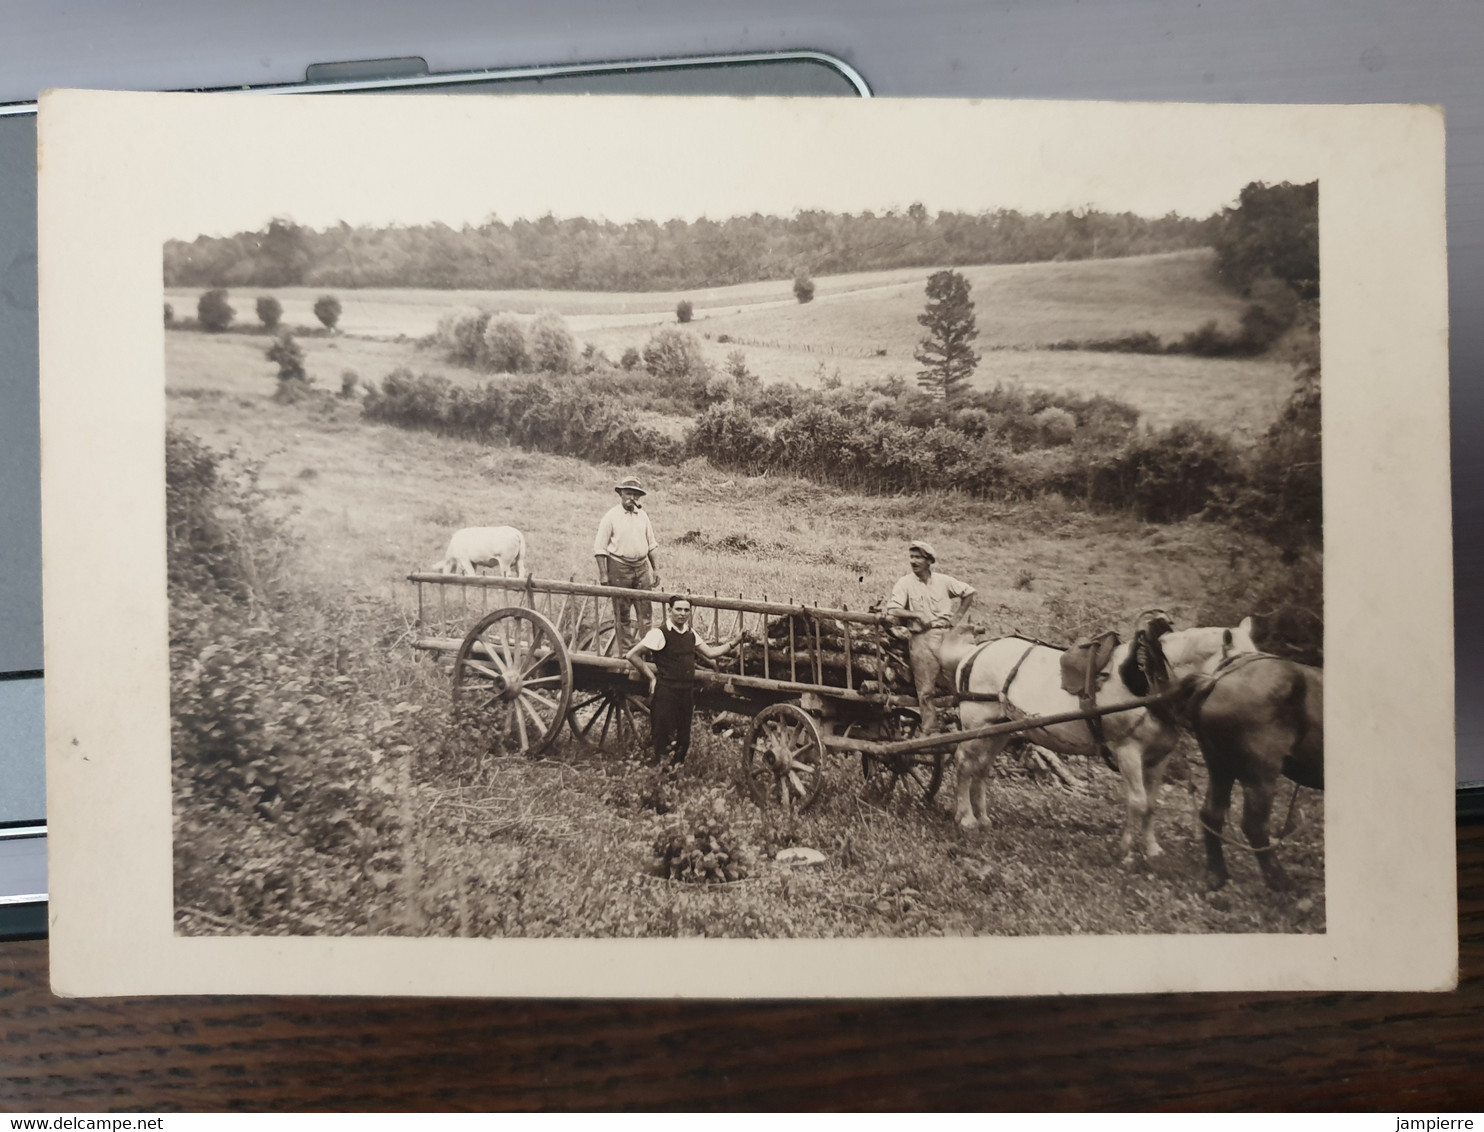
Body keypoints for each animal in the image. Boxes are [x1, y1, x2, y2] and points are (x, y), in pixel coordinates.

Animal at [949, 614, 1252, 860]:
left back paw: (983, 817)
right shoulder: (1128, 751)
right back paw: (966, 818)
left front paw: (1151, 848)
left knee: (982, 768)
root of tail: (976, 650)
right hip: (976, 721)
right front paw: (1126, 851)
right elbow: (1137, 801)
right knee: (964, 763)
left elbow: (1151, 804)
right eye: (1243, 665)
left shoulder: (1160, 756)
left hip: (1000, 728)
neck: (1150, 681)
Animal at [1187, 655, 1329, 896]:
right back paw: (1282, 883)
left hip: (1220, 767)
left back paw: (1217, 875)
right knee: (1254, 826)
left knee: (1211, 815)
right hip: (1259, 776)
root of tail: (1216, 681)